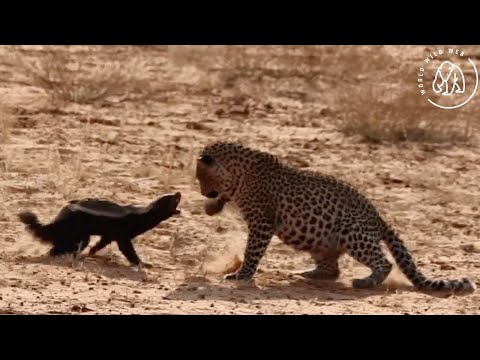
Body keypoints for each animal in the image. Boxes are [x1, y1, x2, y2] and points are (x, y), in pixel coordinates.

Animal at [195, 142, 476, 294]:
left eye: (200, 177)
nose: (201, 192)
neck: (239, 175)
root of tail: (378, 217)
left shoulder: (262, 222)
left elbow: (252, 251)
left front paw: (241, 275)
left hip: (351, 231)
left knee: (384, 262)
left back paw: (366, 281)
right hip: (317, 240)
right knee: (332, 269)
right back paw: (308, 273)